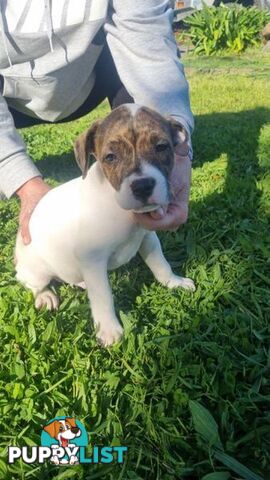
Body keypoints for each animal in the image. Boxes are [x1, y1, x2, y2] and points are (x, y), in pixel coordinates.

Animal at [14, 105, 194, 344]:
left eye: (161, 147)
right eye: (110, 157)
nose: (143, 186)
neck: (117, 206)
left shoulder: (148, 238)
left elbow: (160, 264)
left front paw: (174, 282)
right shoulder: (93, 259)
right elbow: (103, 295)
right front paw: (109, 329)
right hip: (36, 269)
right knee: (31, 282)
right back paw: (45, 296)